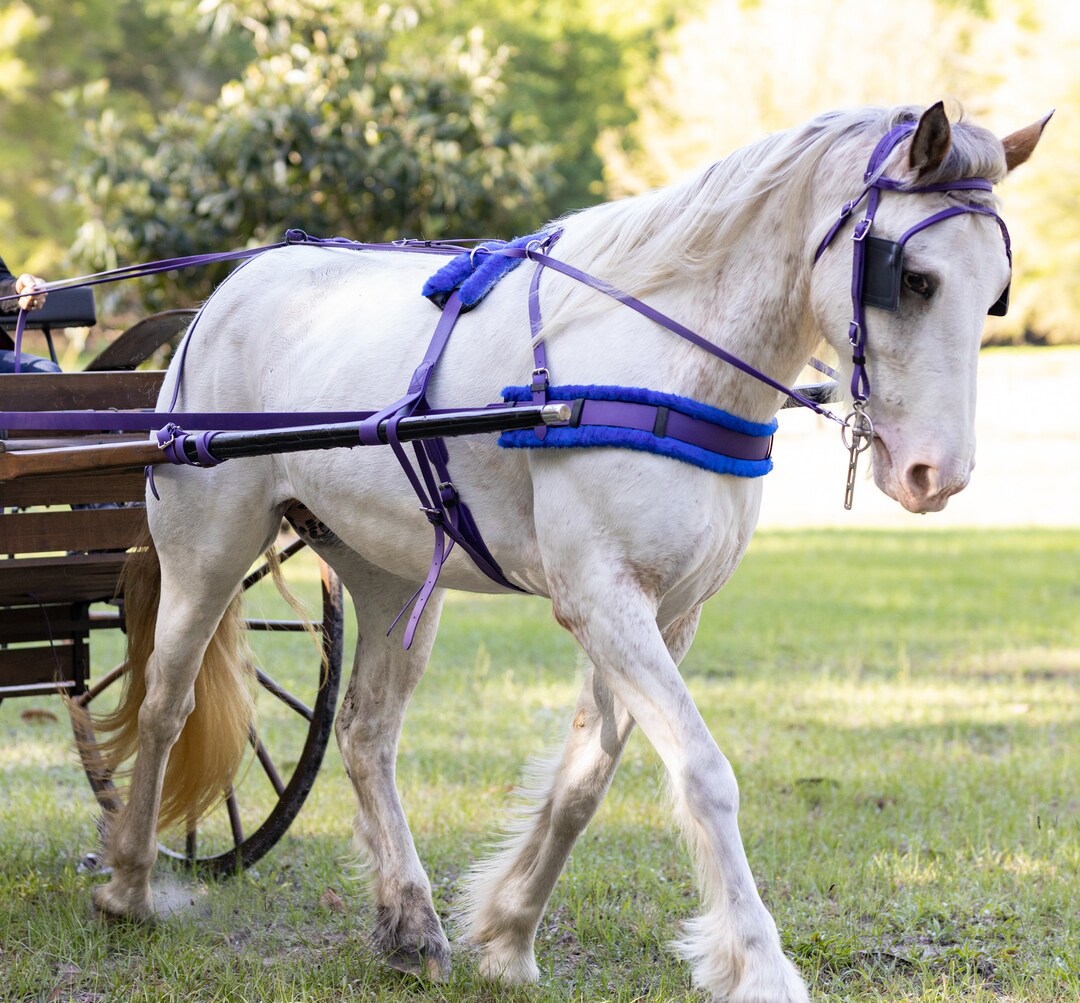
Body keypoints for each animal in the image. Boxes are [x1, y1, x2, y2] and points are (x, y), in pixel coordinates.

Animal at [90, 101, 1048, 1002]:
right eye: (913, 278)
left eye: (995, 292)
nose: (938, 473)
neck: (665, 360)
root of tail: (230, 290)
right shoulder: (601, 597)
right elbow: (702, 771)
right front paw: (759, 963)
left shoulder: (668, 611)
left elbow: (589, 777)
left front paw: (508, 933)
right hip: (210, 553)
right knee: (165, 706)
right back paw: (130, 882)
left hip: (395, 579)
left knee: (365, 733)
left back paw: (408, 919)